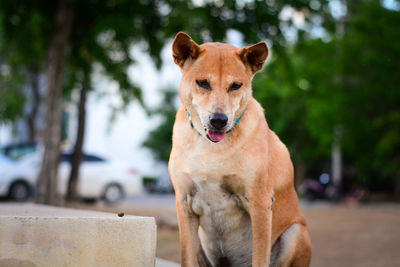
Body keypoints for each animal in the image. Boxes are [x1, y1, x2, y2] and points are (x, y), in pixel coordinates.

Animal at [169, 32, 312, 266]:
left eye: (235, 85)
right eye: (203, 83)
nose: (219, 120)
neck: (211, 146)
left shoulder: (259, 203)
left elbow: (260, 258)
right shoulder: (184, 204)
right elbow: (186, 259)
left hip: (295, 233)